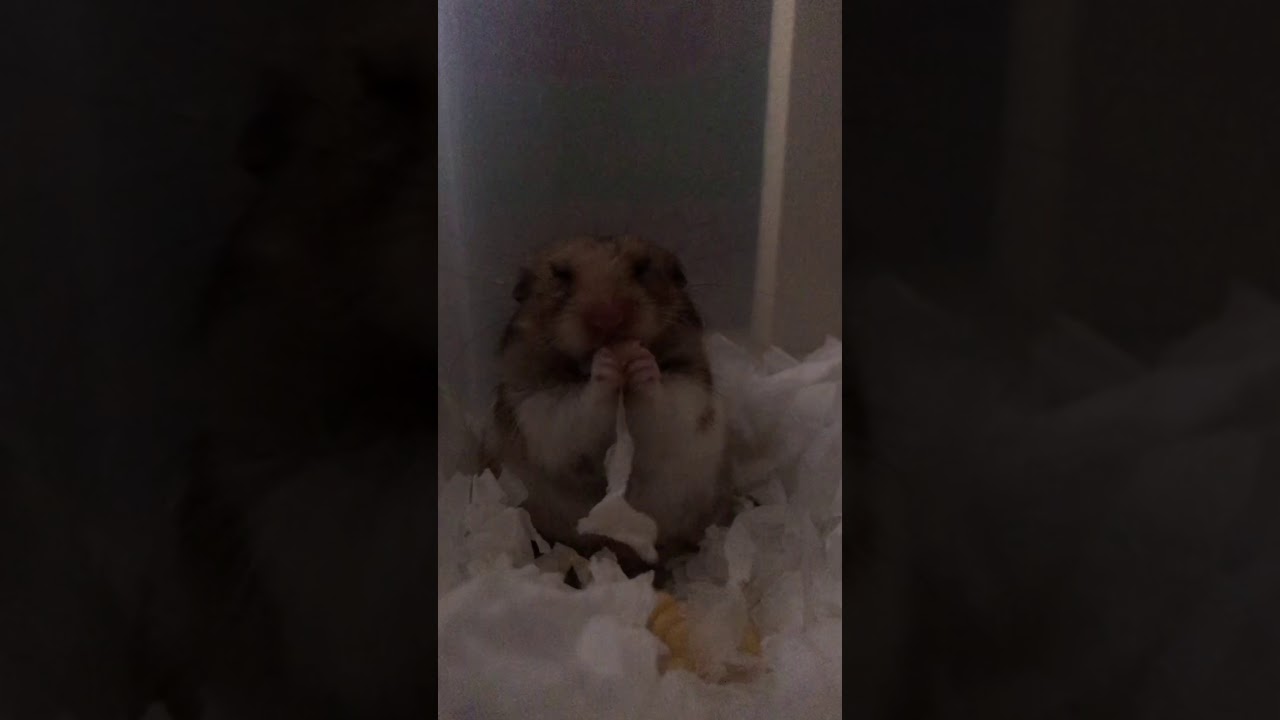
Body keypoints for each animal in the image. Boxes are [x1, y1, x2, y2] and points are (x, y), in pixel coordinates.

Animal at [485, 235, 732, 575]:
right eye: (561, 275)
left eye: (642, 268)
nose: (608, 318)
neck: (622, 391)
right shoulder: (540, 407)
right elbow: (579, 404)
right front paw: (605, 363)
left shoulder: (689, 393)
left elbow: (665, 401)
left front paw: (641, 361)